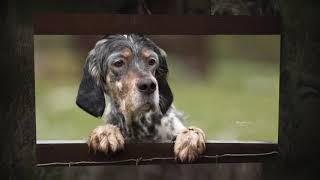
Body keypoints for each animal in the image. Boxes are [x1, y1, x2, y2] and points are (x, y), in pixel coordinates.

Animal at [77, 34, 206, 162]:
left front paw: (189, 138)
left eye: (152, 61)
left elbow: (190, 130)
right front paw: (106, 132)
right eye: (118, 63)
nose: (148, 85)